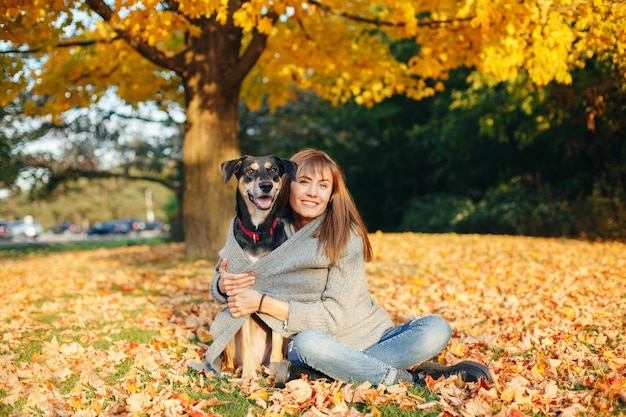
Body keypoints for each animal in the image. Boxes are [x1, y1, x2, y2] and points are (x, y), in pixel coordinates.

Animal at [219, 154, 298, 378]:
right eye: (250, 171)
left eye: (273, 170)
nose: (266, 185)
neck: (257, 232)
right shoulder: (240, 297)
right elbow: (245, 343)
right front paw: (248, 376)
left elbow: (277, 344)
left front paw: (275, 374)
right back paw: (229, 370)